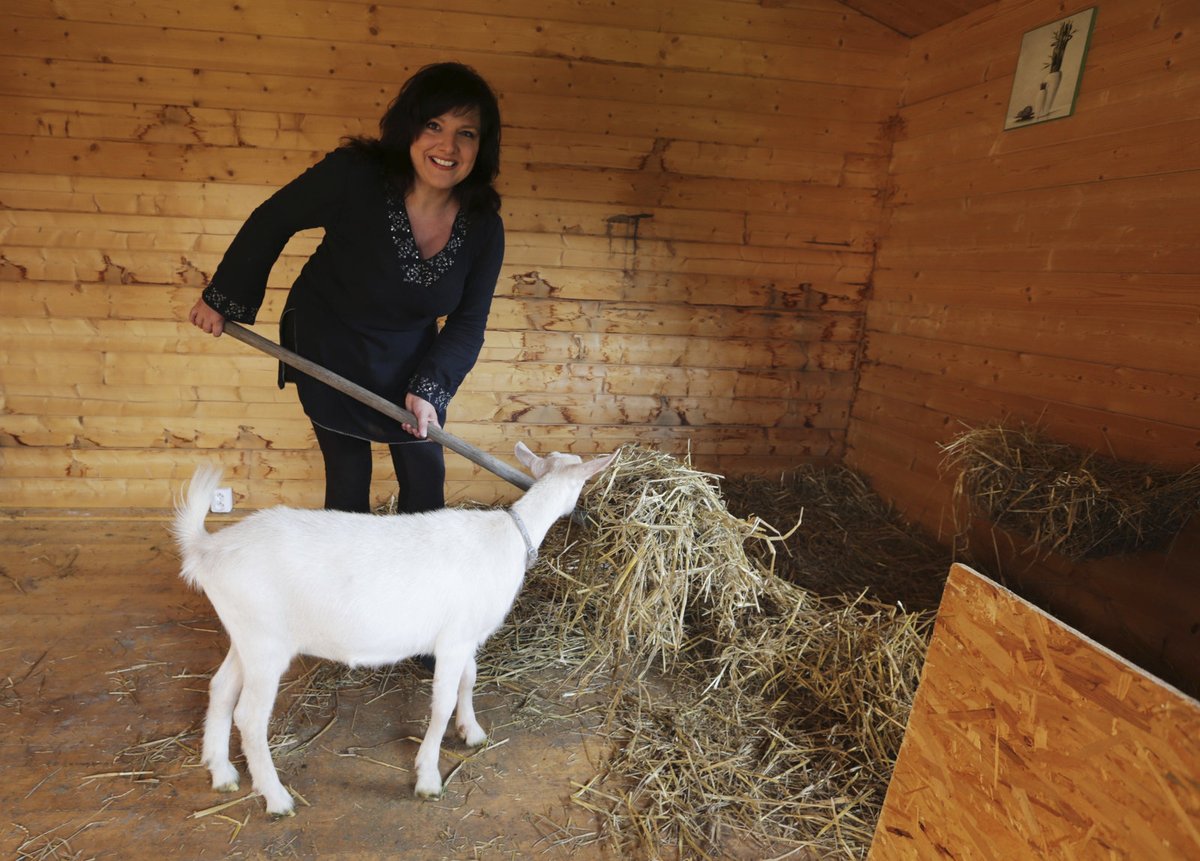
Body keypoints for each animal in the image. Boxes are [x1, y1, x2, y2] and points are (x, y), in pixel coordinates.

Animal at [174, 446, 614, 815]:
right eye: (583, 480)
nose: (586, 513)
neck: (506, 536)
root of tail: (206, 550)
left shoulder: (465, 635)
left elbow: (469, 680)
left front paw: (471, 732)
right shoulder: (453, 640)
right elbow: (441, 704)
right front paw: (428, 777)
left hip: (246, 635)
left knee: (220, 688)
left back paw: (222, 773)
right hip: (266, 644)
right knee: (249, 716)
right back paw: (277, 799)